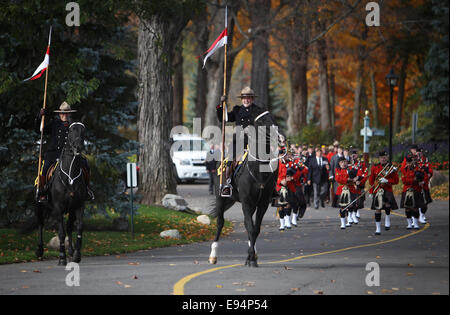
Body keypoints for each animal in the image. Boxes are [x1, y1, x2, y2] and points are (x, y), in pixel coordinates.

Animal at [35, 122, 89, 266]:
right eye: (70, 131)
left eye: (83, 131)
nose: (78, 147)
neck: (70, 175)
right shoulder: (58, 208)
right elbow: (61, 232)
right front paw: (61, 257)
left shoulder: (78, 205)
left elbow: (79, 228)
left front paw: (76, 255)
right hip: (40, 205)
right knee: (40, 224)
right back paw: (40, 250)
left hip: (70, 209)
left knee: (70, 227)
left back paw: (71, 251)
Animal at [208, 111, 284, 266]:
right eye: (261, 122)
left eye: (273, 118)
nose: (280, 137)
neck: (258, 171)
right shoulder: (247, 202)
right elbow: (250, 227)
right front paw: (251, 258)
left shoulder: (261, 204)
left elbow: (255, 229)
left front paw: (251, 257)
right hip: (221, 198)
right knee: (220, 223)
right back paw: (213, 255)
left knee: (246, 224)